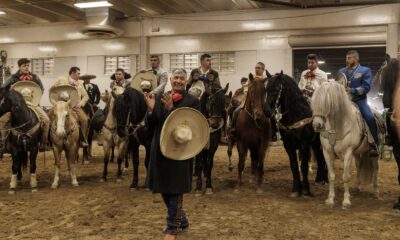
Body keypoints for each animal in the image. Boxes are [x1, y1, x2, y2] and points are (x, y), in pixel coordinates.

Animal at [310, 81, 380, 209]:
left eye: (327, 103)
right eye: (314, 102)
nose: (316, 125)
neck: (338, 127)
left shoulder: (348, 153)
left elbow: (345, 177)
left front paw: (346, 201)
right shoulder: (327, 153)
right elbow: (331, 176)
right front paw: (330, 199)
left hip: (374, 153)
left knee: (375, 168)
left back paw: (376, 191)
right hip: (357, 152)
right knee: (359, 165)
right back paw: (357, 187)